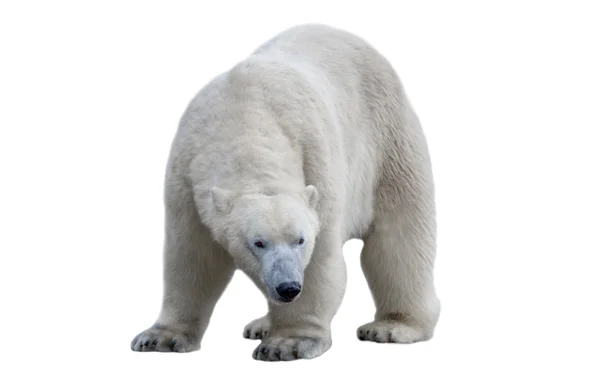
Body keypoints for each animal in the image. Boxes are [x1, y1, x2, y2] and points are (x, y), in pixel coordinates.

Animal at [131, 23, 440, 362]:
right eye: (258, 243)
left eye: (300, 240)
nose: (289, 287)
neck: (243, 119)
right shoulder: (185, 178)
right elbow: (192, 259)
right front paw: (160, 338)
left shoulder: (318, 162)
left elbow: (321, 261)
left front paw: (287, 343)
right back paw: (261, 325)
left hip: (388, 145)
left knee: (397, 238)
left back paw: (392, 327)